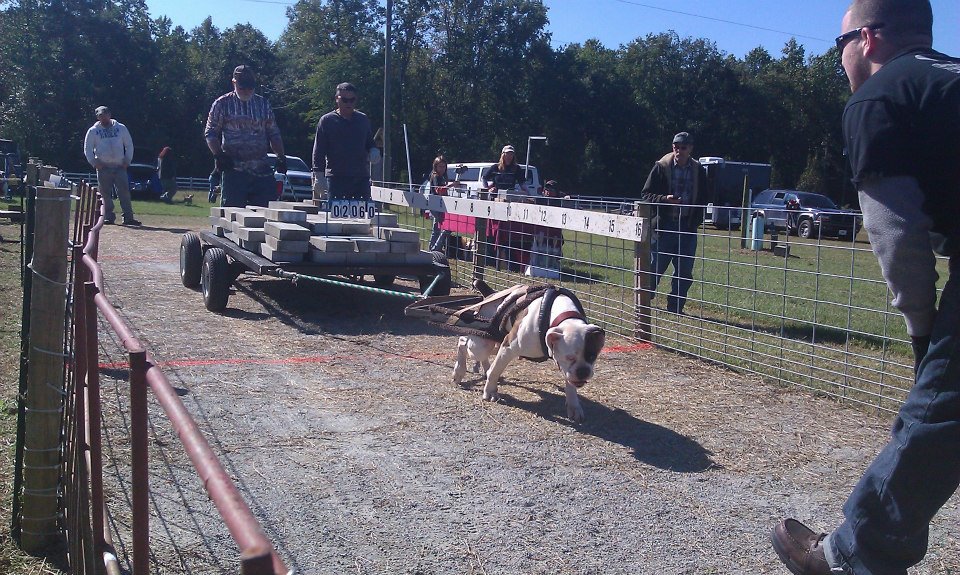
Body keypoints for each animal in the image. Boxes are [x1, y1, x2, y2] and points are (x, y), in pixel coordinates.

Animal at [452, 284, 604, 424]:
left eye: (593, 357)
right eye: (569, 357)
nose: (583, 372)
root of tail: (491, 294)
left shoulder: (568, 370)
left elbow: (570, 384)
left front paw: (574, 406)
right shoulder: (508, 347)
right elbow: (495, 372)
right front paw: (489, 391)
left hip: (494, 344)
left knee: (483, 356)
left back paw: (484, 368)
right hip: (481, 346)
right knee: (462, 342)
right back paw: (459, 371)